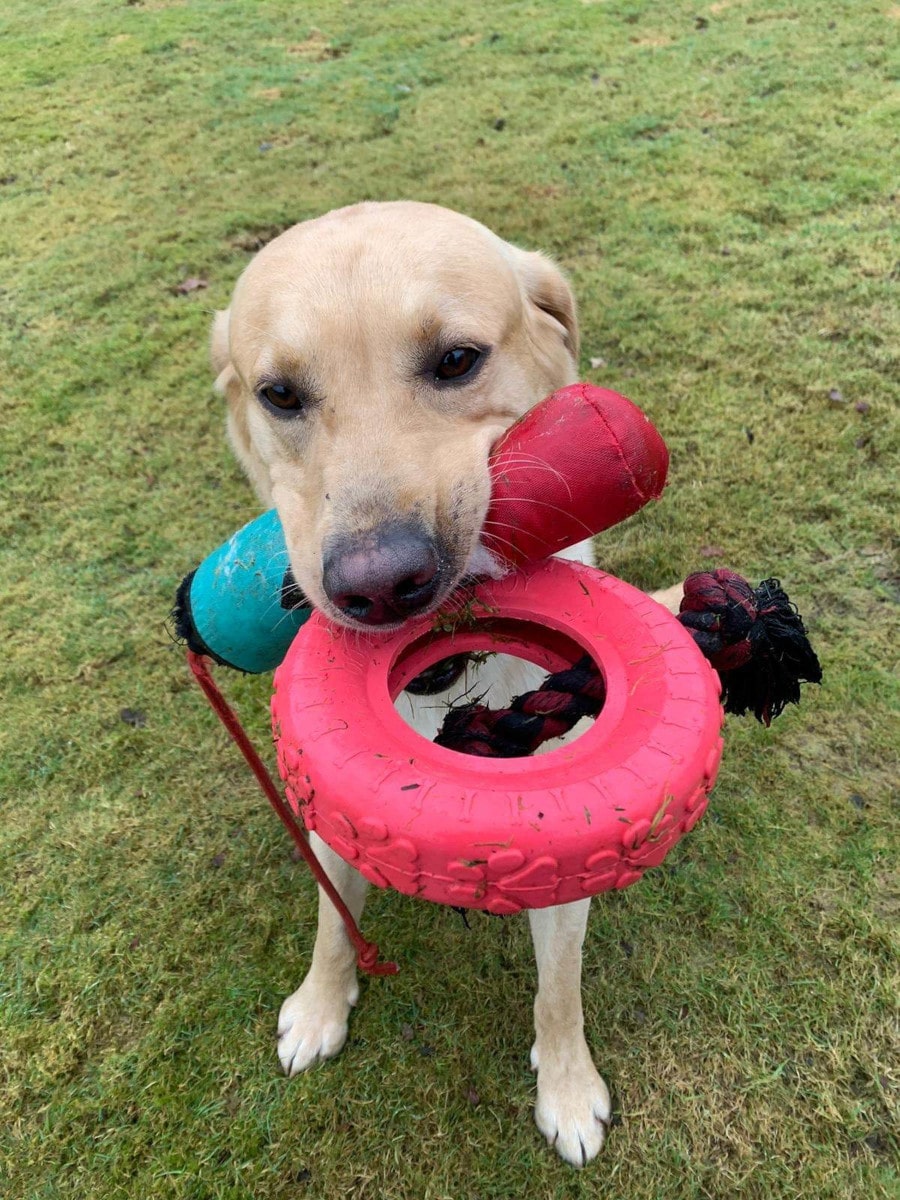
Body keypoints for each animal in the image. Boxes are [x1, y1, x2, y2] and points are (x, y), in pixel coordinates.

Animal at [210, 201, 676, 1166]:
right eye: (280, 395)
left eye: (457, 360)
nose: (381, 586)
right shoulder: (333, 805)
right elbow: (330, 918)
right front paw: (319, 1007)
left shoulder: (569, 848)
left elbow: (559, 986)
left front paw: (568, 1089)